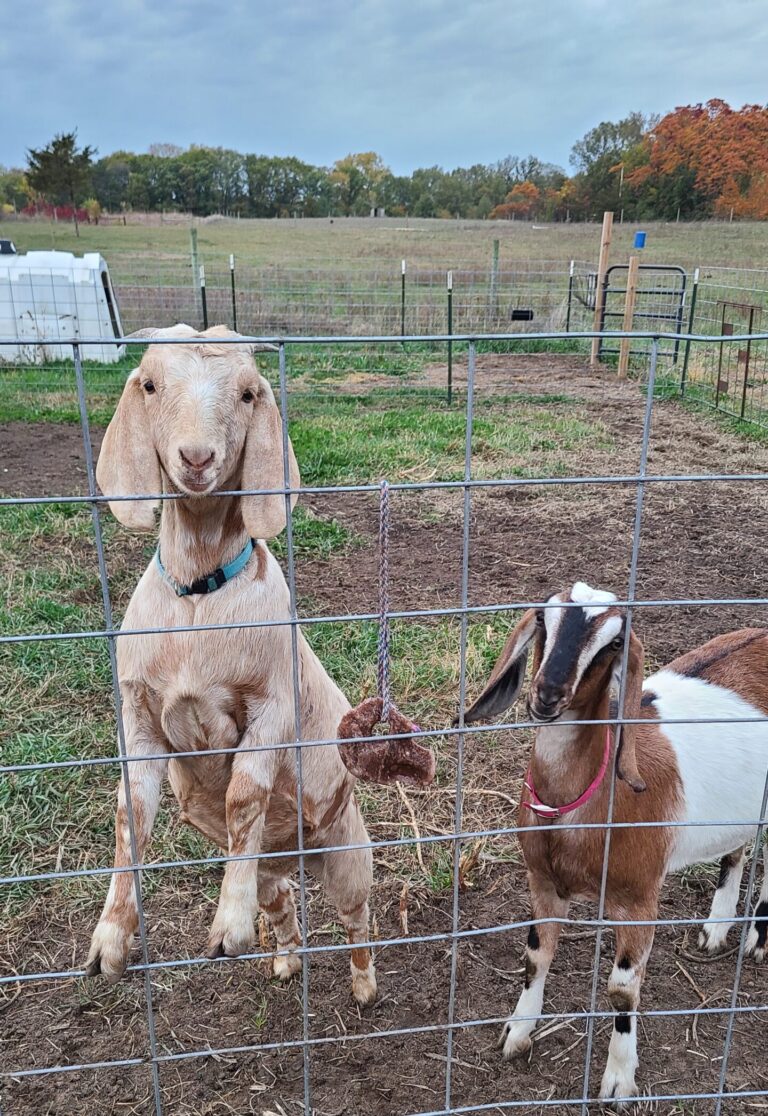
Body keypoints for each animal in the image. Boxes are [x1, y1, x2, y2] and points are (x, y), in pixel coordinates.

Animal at [86, 325, 377, 1006]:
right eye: (149, 384)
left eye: (247, 393)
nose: (196, 458)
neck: (199, 596)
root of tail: (298, 855)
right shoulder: (139, 716)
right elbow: (129, 815)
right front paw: (110, 942)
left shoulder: (270, 704)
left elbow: (245, 792)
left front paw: (228, 926)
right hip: (277, 868)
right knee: (283, 899)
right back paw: (285, 960)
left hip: (349, 849)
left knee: (357, 916)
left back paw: (364, 986)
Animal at [461, 582, 768, 1103]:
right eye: (543, 620)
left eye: (614, 643)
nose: (547, 694)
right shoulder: (542, 881)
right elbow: (535, 956)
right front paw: (517, 1033)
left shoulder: (640, 898)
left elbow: (623, 989)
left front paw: (619, 1080)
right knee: (737, 847)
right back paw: (716, 928)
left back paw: (758, 939)